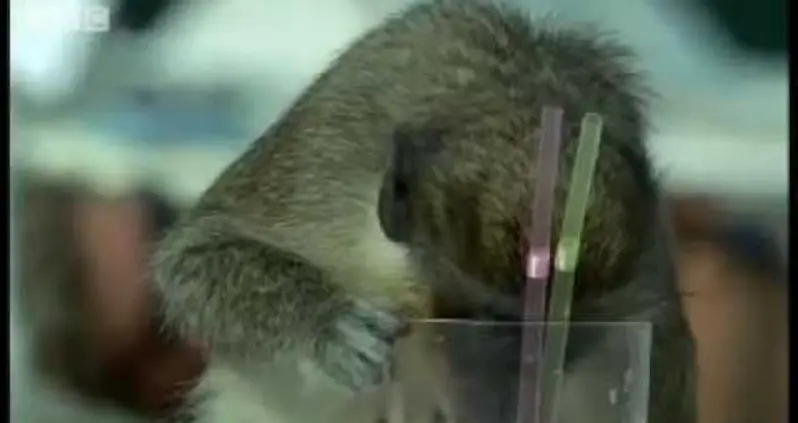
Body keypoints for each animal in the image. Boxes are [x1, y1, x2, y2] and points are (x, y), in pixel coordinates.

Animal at [150, 1, 697, 422]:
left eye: (564, 334)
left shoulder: (649, 275)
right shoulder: (325, 163)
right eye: (494, 324)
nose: (521, 388)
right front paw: (329, 321)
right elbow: (195, 258)